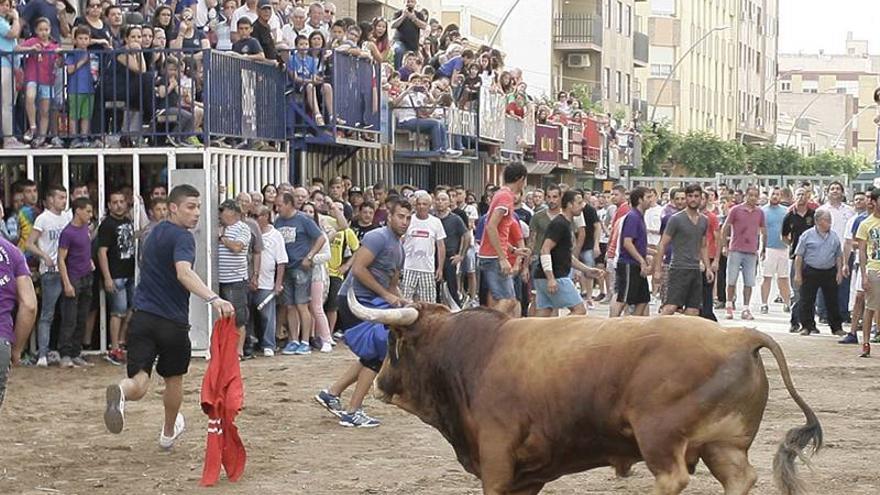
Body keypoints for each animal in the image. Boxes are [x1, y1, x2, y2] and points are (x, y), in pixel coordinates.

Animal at [348, 290, 824, 495]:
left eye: (391, 338)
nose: (381, 384)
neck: (472, 353)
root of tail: (739, 336)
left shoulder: (497, 458)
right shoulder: (527, 475)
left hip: (660, 437)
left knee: (673, 478)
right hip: (722, 444)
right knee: (740, 478)